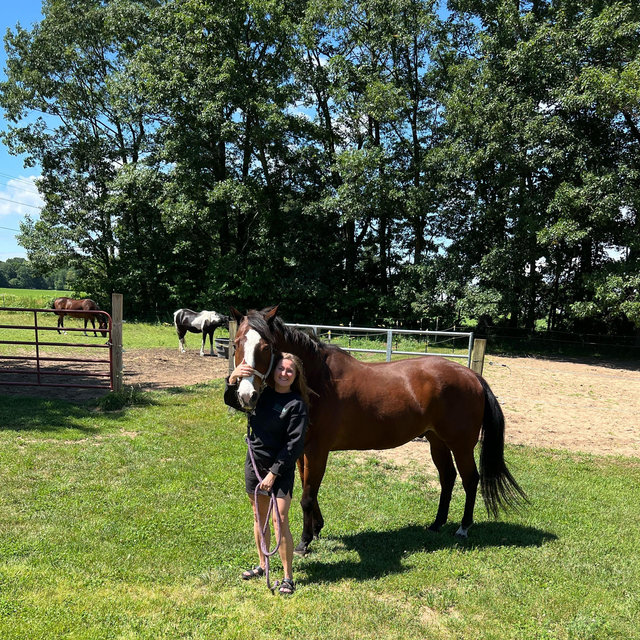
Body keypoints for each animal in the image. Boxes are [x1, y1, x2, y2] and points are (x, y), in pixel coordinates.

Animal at [230, 305, 527, 556]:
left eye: (266, 346)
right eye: (236, 343)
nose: (246, 395)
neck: (318, 380)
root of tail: (472, 376)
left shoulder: (316, 451)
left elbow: (307, 496)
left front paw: (304, 542)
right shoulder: (301, 450)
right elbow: (308, 490)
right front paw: (317, 528)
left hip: (460, 444)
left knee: (470, 479)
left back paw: (463, 528)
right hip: (437, 441)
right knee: (448, 478)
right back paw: (436, 524)